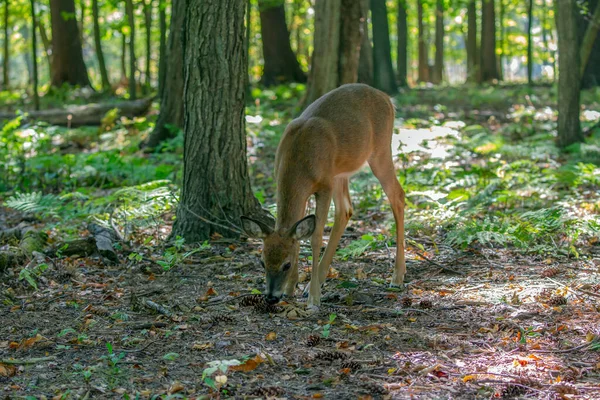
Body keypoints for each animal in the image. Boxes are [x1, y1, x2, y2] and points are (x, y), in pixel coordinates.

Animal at [241, 83, 406, 310]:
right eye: (262, 262)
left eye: (286, 264)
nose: (272, 297)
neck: (299, 162)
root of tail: (387, 98)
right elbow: (298, 235)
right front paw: (292, 288)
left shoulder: (324, 185)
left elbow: (316, 237)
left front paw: (314, 298)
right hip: (340, 172)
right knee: (346, 210)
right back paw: (316, 280)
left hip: (379, 151)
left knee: (397, 195)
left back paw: (397, 277)